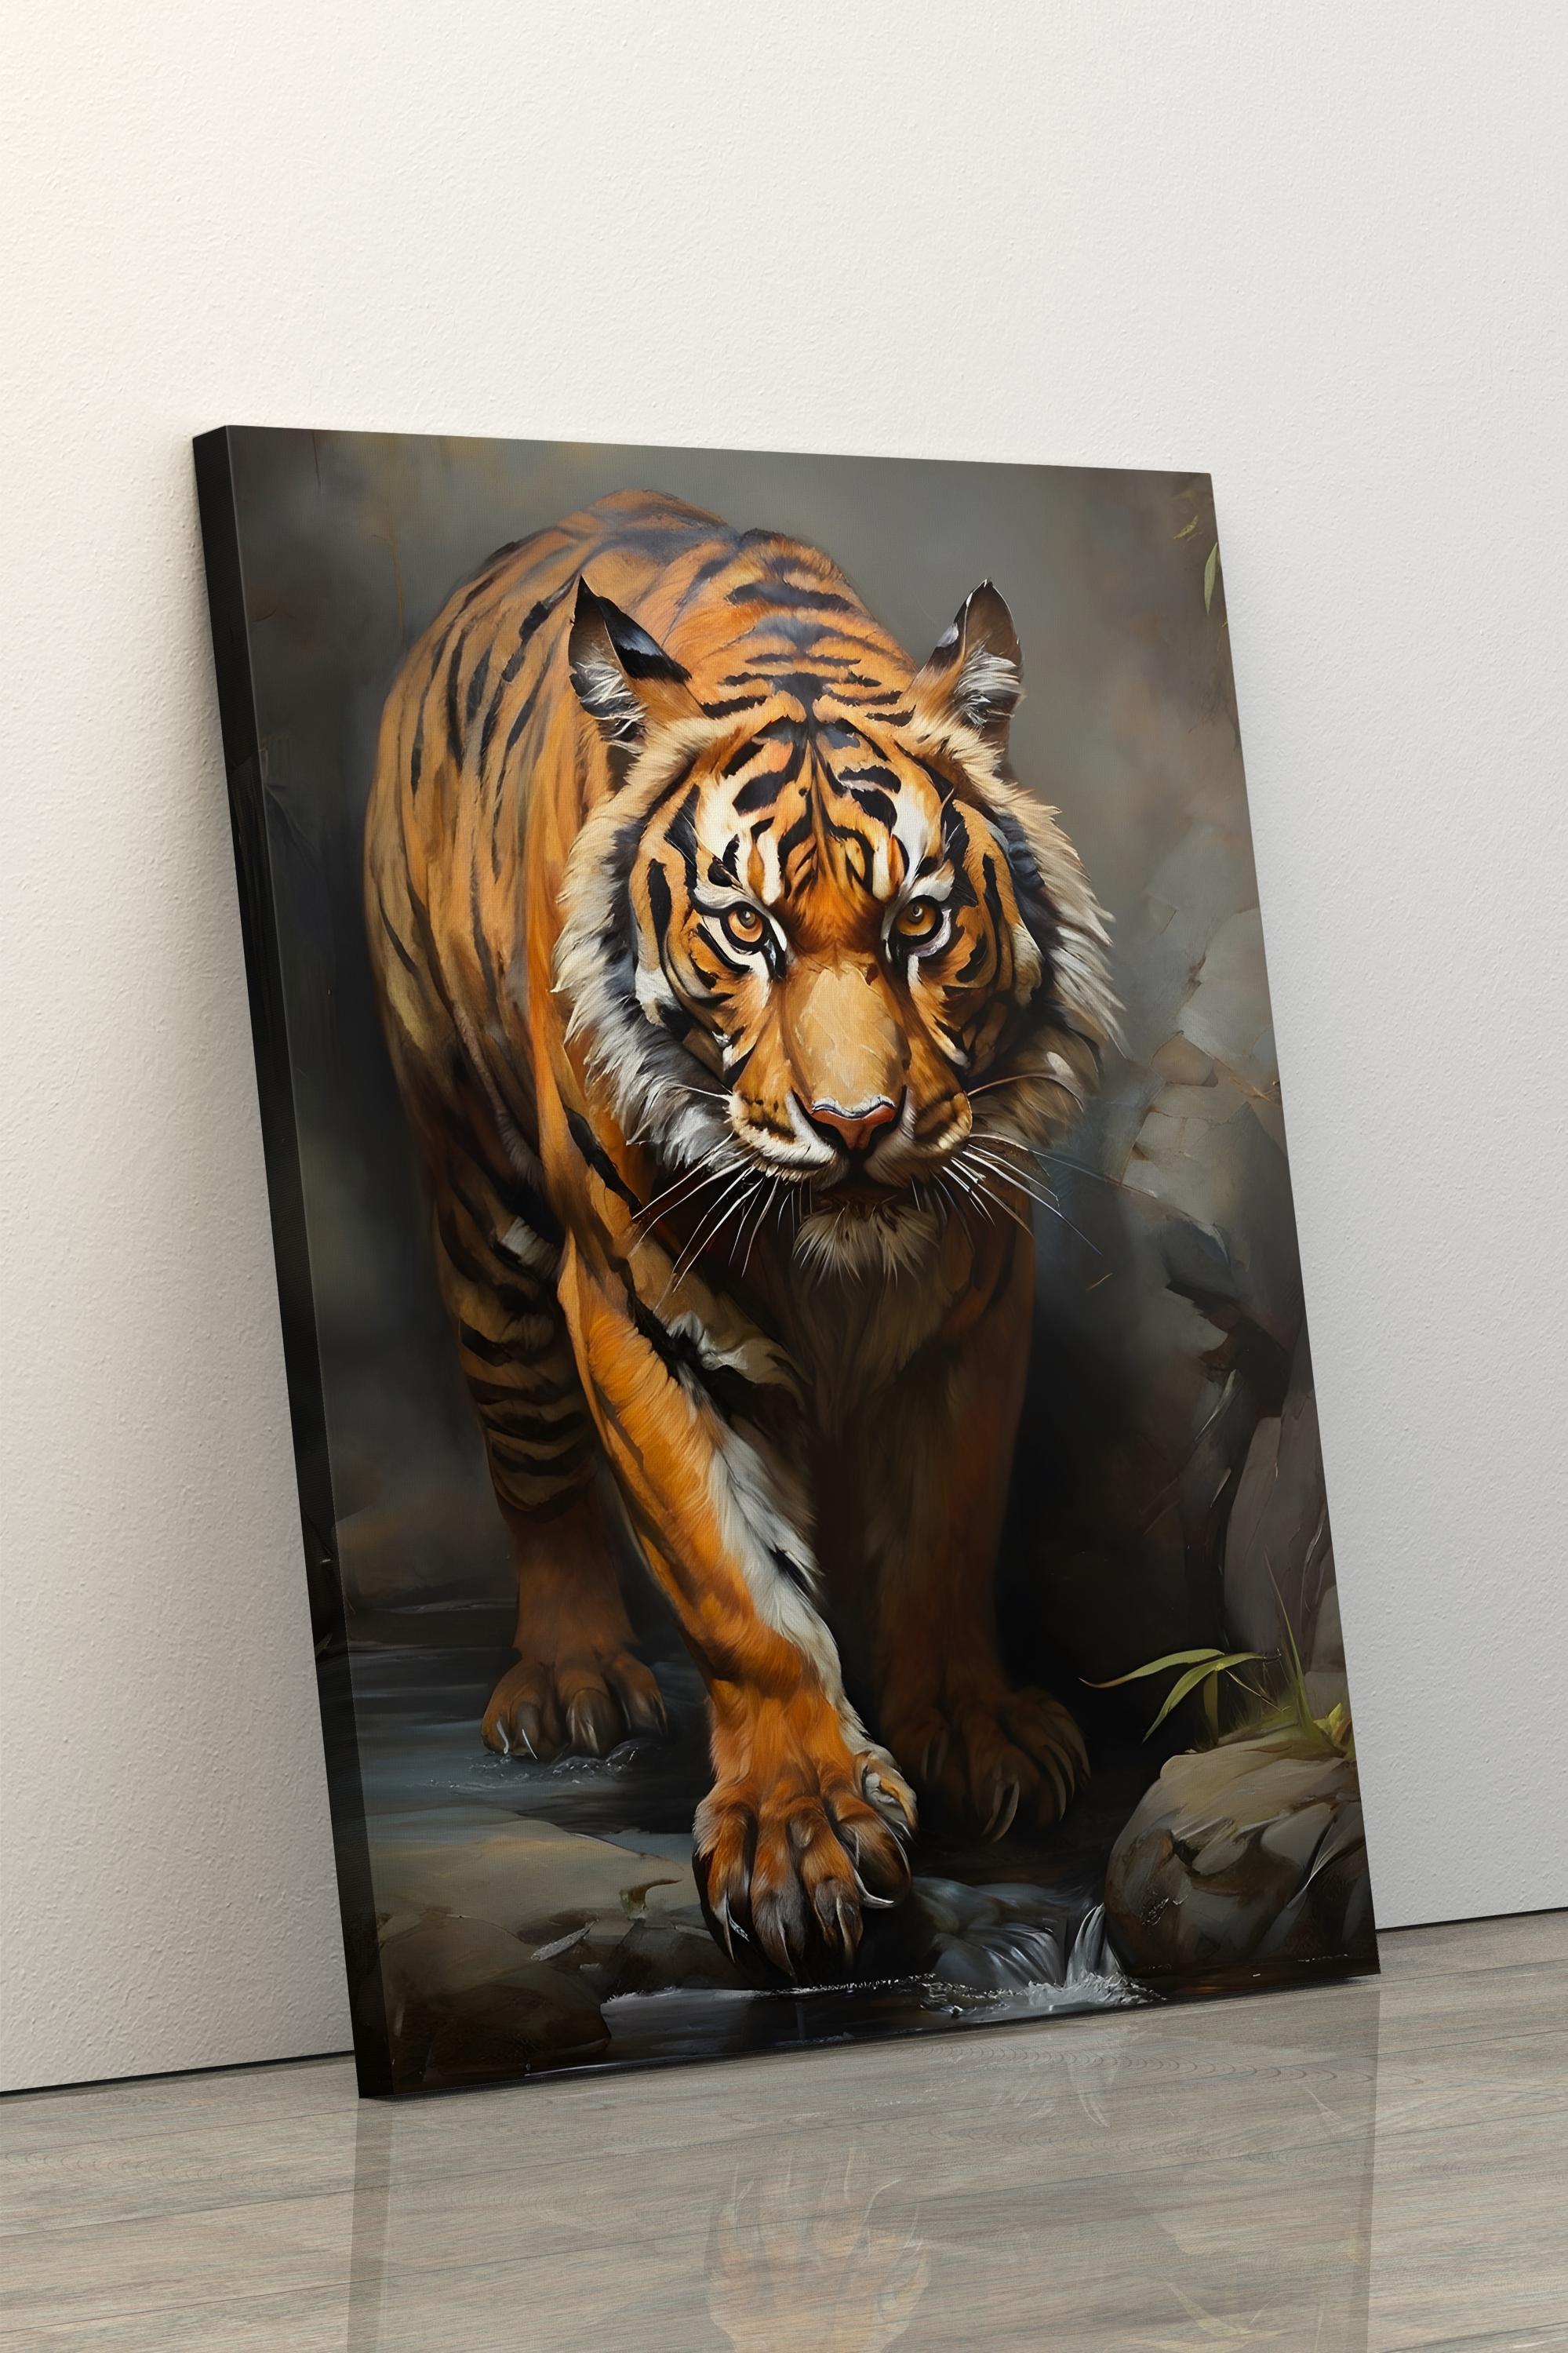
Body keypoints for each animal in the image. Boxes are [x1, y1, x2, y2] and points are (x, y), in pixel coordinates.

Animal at [364, 489, 1117, 1975]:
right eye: (745, 927)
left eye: (918, 922)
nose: (855, 1123)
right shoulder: (633, 1306)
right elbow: (732, 1588)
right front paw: (799, 1829)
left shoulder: (971, 1293)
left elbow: (943, 1528)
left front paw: (969, 1730)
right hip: (478, 1203)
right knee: (531, 1457)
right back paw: (571, 1680)